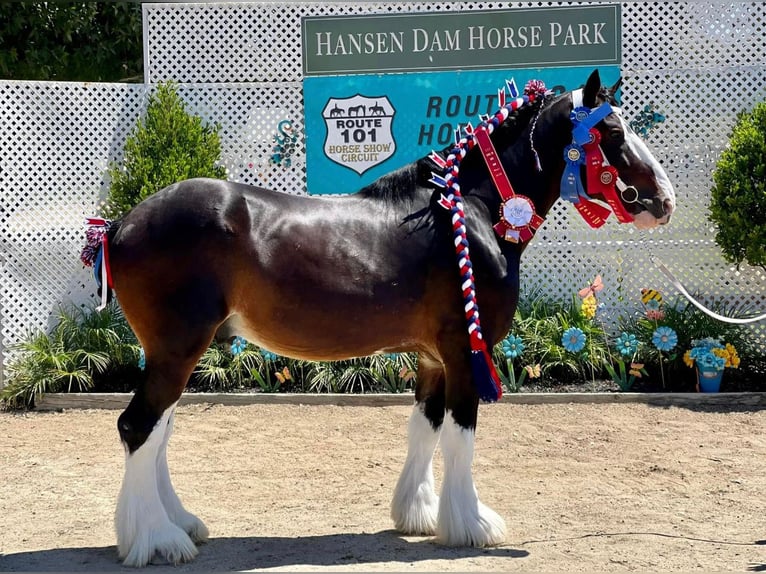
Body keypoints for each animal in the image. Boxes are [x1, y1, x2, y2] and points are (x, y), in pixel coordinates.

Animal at [105, 70, 676, 568]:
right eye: (614, 132)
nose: (664, 201)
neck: (472, 210)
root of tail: (122, 224)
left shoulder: (432, 357)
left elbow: (425, 427)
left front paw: (419, 514)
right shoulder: (463, 350)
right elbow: (460, 434)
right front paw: (471, 525)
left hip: (176, 352)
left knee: (159, 431)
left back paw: (180, 524)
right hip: (178, 348)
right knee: (139, 427)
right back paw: (159, 541)